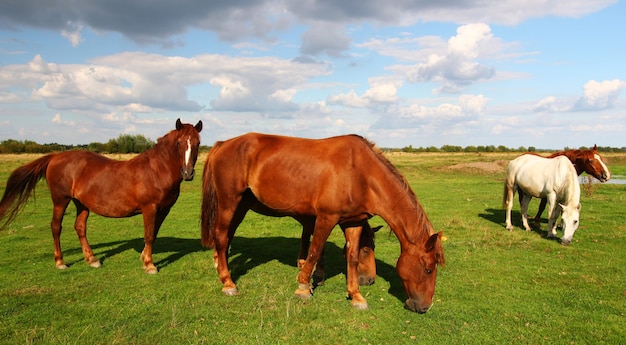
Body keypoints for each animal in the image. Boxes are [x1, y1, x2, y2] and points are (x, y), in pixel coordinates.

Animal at [0, 119, 201, 272]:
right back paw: (60, 262)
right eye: (179, 143)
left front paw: (144, 258)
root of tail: (55, 157)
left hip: (81, 203)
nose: (187, 173)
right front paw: (150, 265)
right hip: (60, 200)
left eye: (197, 143)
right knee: (56, 227)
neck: (156, 170)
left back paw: (92, 260)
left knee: (80, 227)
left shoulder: (164, 209)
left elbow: (154, 233)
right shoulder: (149, 208)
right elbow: (149, 234)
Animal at [200, 133, 444, 314]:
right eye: (428, 269)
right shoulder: (326, 218)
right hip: (229, 202)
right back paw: (228, 283)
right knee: (221, 236)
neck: (360, 172)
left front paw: (355, 296)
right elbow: (315, 250)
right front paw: (303, 287)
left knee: (226, 236)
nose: (425, 307)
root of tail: (223, 144)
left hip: (241, 205)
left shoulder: (353, 222)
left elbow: (351, 257)